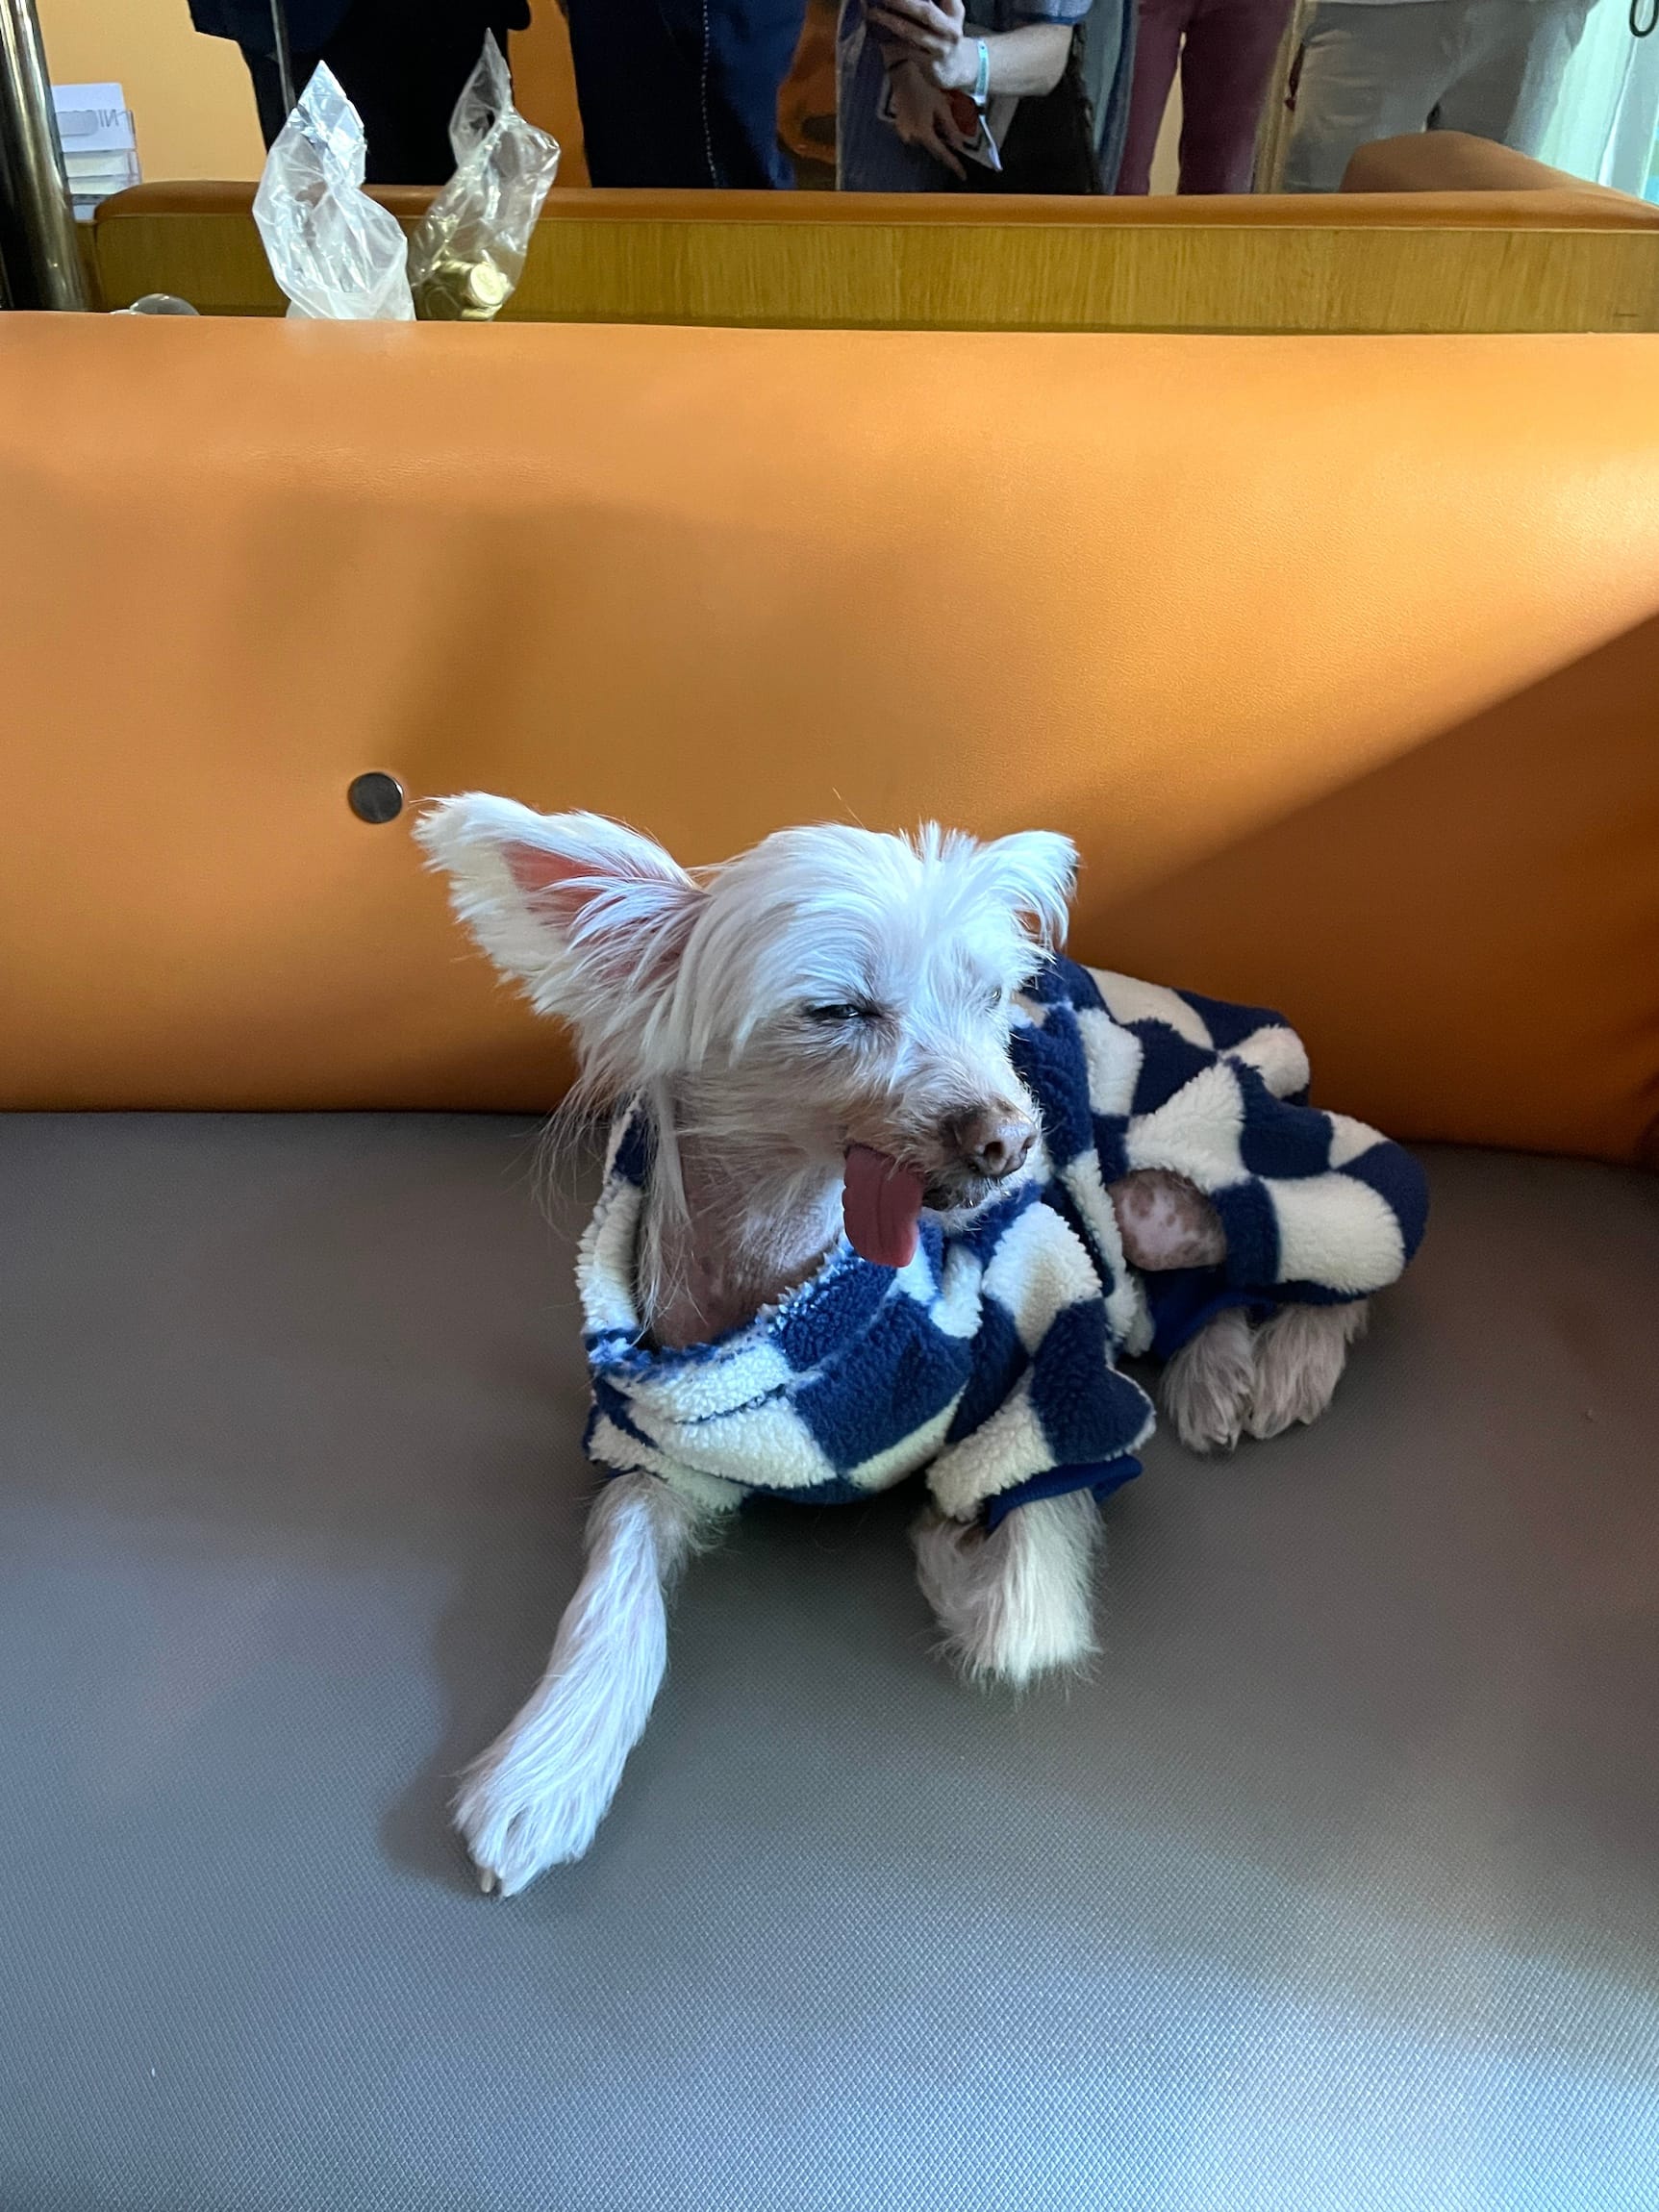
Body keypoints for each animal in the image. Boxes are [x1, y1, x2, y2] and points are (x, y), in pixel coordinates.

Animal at [417, 800, 1426, 1894]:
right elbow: (615, 1582)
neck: (798, 1278)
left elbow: (1019, 1622)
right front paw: (547, 1765)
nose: (1013, 1139)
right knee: (1210, 1291)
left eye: (994, 997)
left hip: (1209, 1169)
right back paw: (1219, 1369)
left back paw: (1285, 1362)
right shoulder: (656, 1446)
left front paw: (946, 1541)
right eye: (836, 1011)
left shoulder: (1054, 1374)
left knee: (1331, 1234)